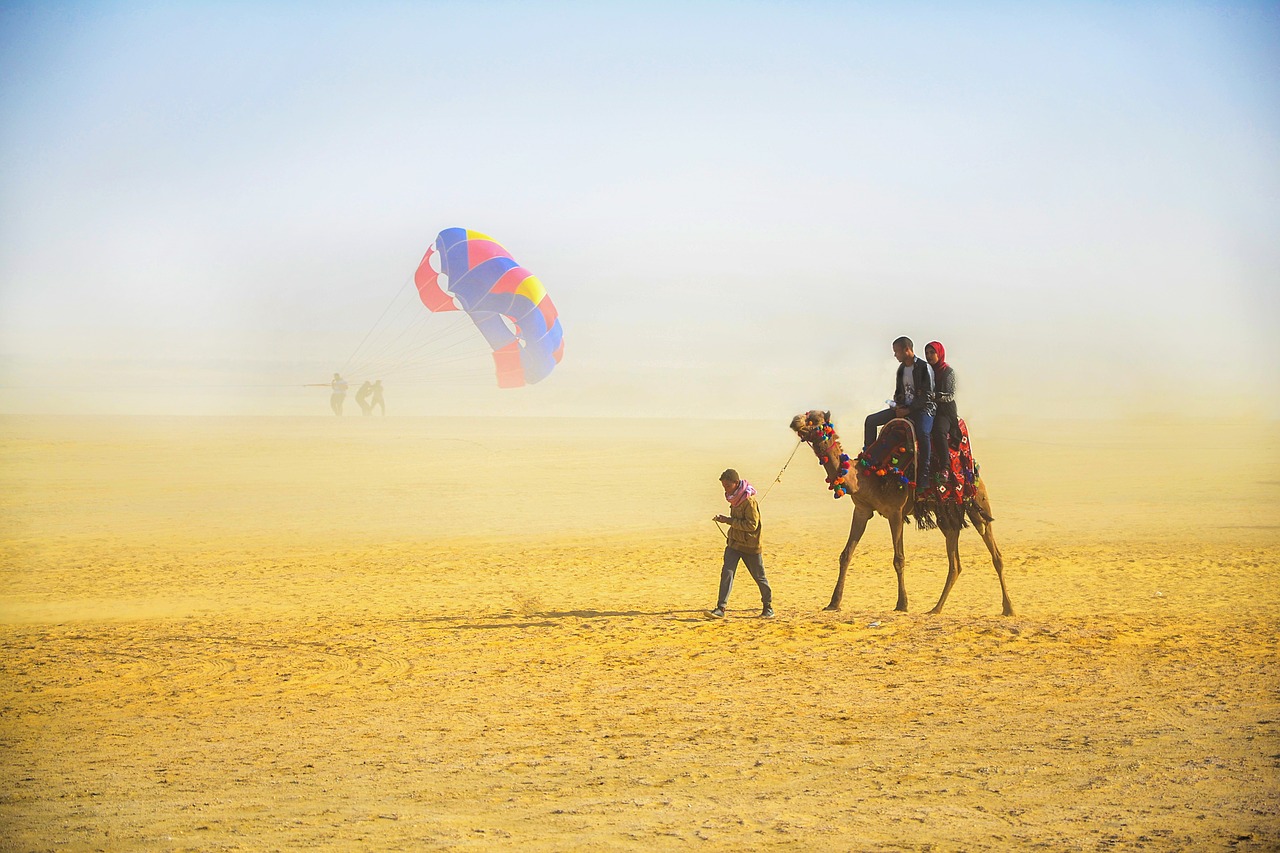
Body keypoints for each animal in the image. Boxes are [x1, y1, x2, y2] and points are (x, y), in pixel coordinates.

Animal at [783, 409, 1013, 614]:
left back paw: (1008, 608)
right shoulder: (862, 509)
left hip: (977, 504)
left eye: (814, 419)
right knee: (954, 558)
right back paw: (935, 609)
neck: (868, 475)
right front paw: (833, 603)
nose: (794, 421)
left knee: (995, 552)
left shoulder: (895, 512)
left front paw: (902, 604)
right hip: (945, 511)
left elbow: (899, 558)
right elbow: (846, 554)